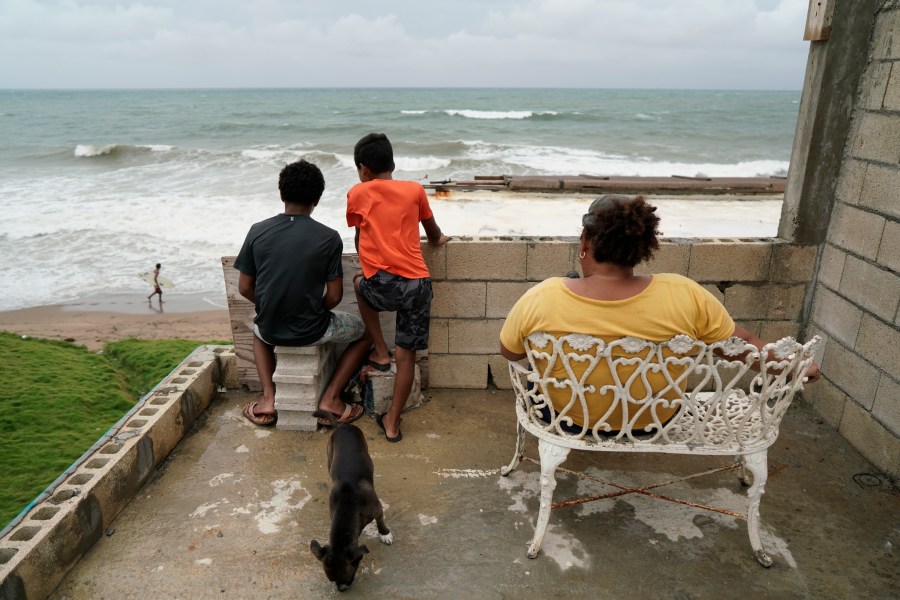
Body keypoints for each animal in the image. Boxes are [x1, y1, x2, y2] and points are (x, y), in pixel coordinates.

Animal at [312, 408, 392, 592]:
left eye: (347, 576)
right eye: (332, 579)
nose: (341, 589)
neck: (348, 505)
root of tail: (342, 425)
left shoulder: (377, 509)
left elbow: (381, 521)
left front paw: (385, 533)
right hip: (329, 457)